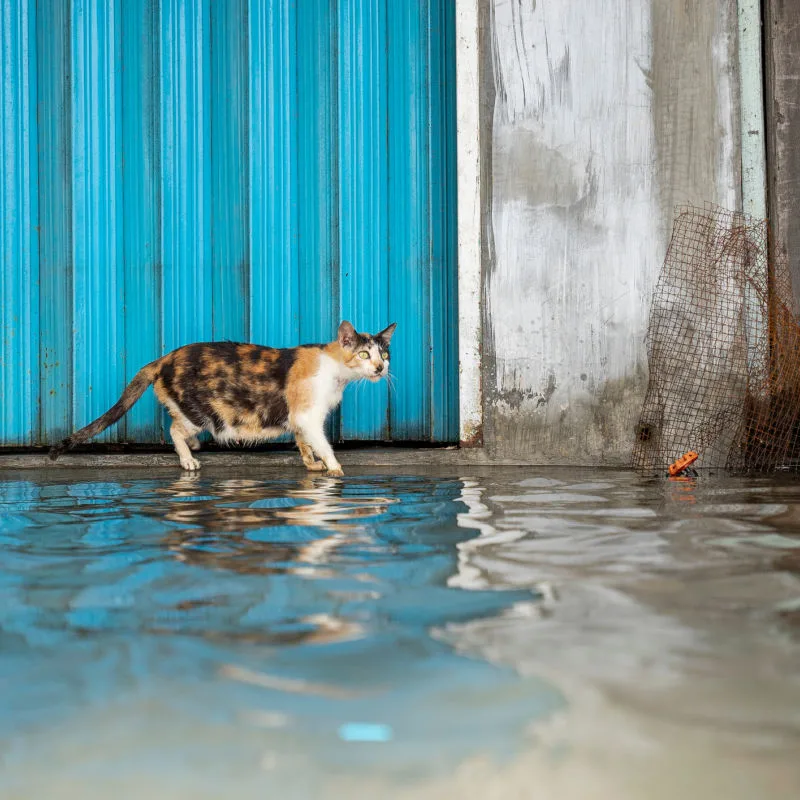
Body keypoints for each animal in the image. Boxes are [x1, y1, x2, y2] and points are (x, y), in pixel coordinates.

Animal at [48, 320, 396, 476]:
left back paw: (194, 446)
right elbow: (321, 442)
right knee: (174, 429)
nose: (380, 368)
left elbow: (303, 441)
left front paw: (311, 464)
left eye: (384, 354)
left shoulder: (299, 418)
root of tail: (161, 360)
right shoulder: (308, 415)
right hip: (202, 413)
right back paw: (188, 458)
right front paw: (334, 468)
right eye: (364, 354)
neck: (336, 373)